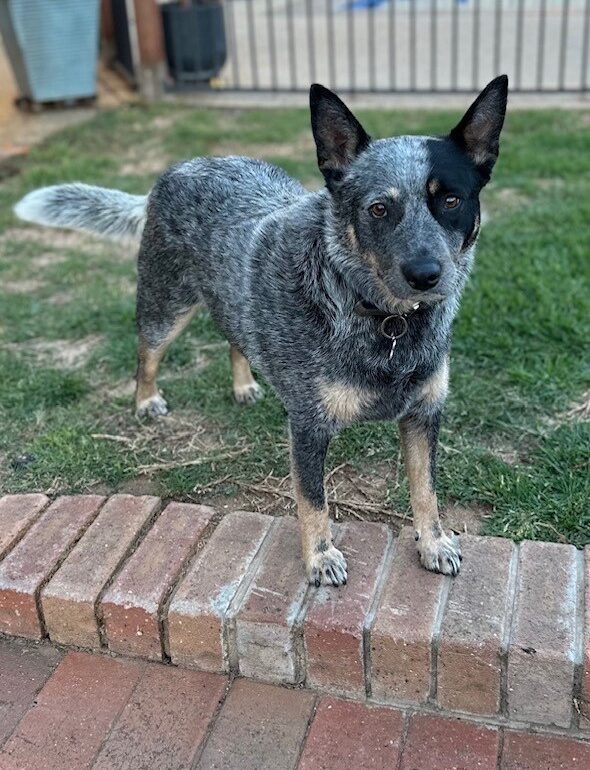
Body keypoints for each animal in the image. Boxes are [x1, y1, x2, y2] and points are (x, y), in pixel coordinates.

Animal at [16, 75, 512, 584]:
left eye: (451, 199)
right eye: (378, 209)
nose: (427, 274)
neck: (386, 320)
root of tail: (176, 170)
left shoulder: (424, 414)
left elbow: (426, 490)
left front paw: (434, 543)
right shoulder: (308, 426)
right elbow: (313, 501)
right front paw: (320, 558)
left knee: (237, 338)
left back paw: (244, 385)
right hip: (165, 305)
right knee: (146, 352)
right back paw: (146, 400)